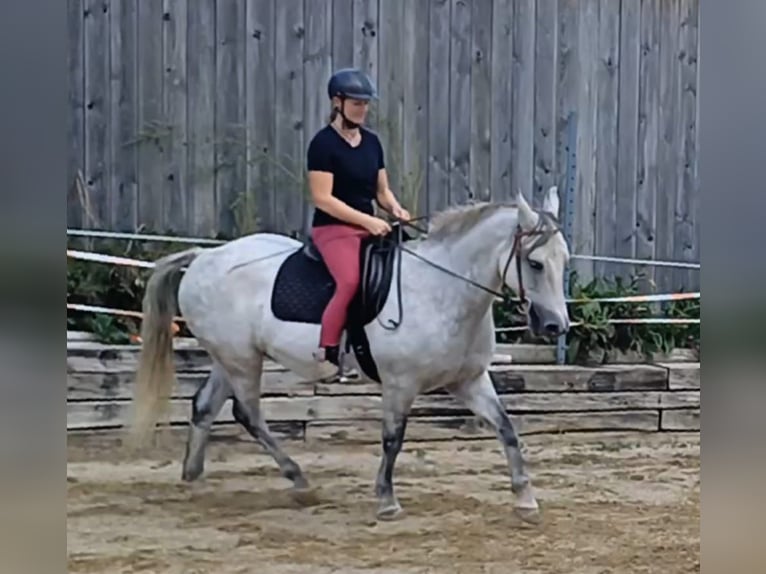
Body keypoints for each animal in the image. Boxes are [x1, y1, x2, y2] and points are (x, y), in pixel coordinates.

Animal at [129, 189, 568, 528]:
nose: (556, 326)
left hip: (230, 357)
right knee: (248, 414)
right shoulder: (400, 383)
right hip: (242, 360)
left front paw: (525, 500)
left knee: (205, 405)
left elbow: (506, 428)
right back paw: (298, 480)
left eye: (563, 260)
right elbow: (392, 439)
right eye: (534, 263)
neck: (442, 289)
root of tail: (203, 258)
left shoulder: (470, 380)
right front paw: (387, 501)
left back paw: (194, 479)